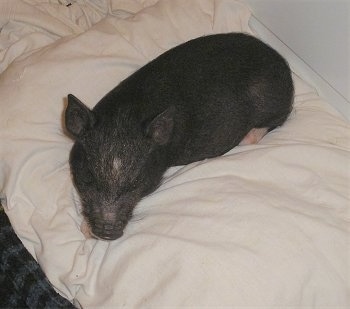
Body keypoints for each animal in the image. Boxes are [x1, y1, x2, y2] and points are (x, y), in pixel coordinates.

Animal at [64, 33, 294, 241]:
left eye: (136, 183)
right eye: (89, 178)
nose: (107, 233)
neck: (124, 115)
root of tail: (285, 68)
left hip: (271, 104)